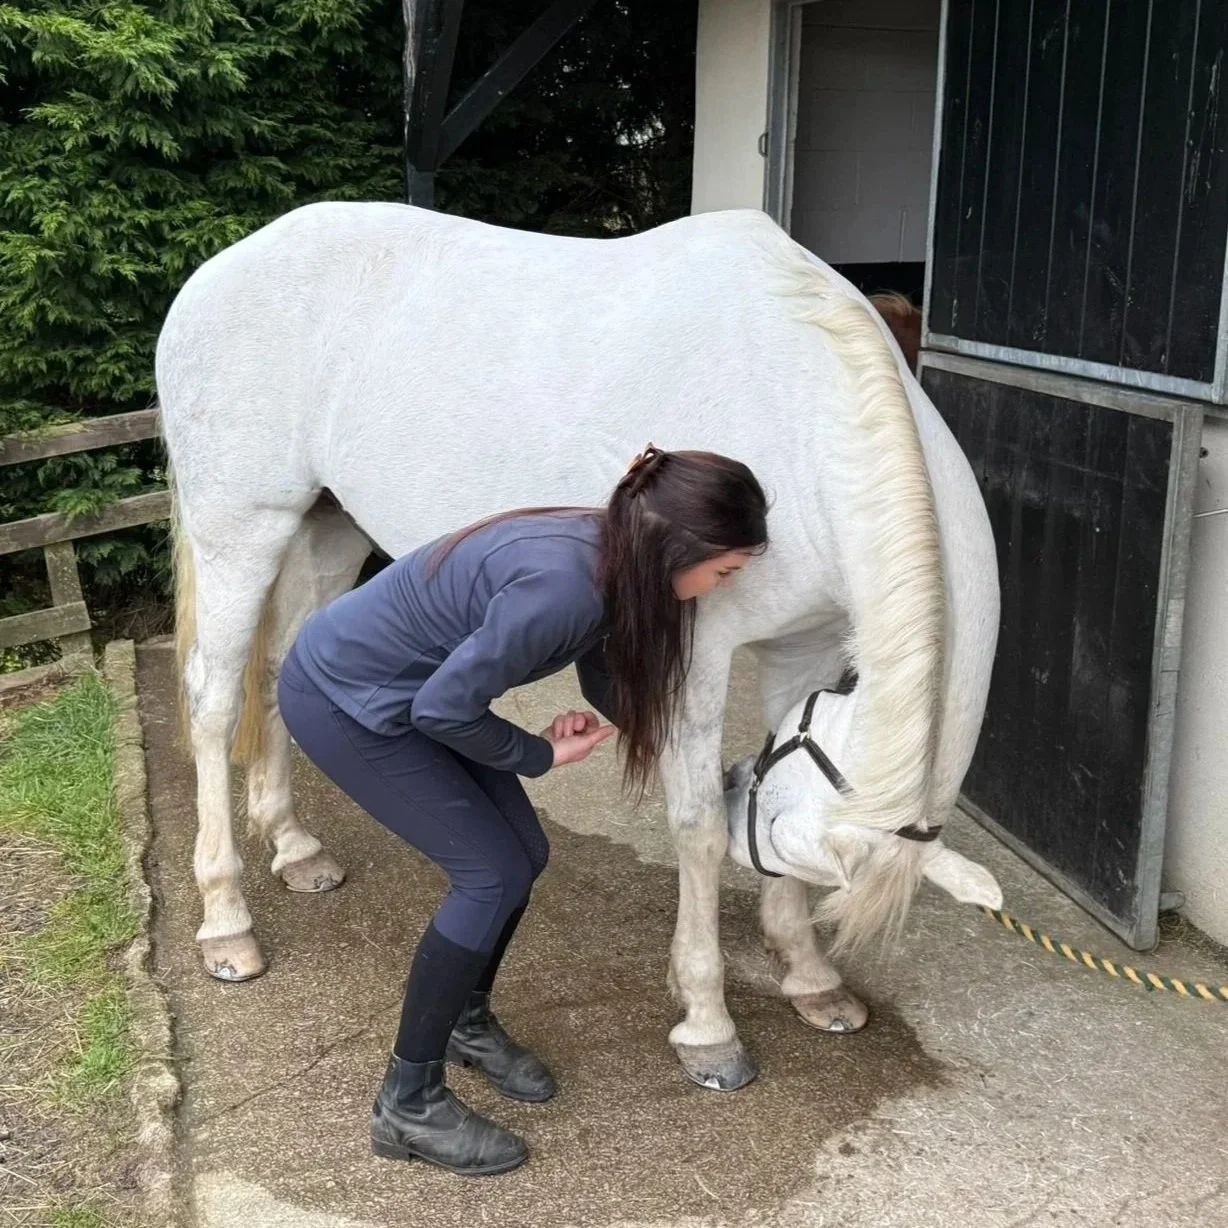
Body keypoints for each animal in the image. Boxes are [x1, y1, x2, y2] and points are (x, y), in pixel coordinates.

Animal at [156, 203, 1001, 1091]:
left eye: (772, 825)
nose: (738, 786)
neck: (802, 413)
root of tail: (216, 274)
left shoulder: (803, 651)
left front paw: (810, 977)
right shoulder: (694, 654)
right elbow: (696, 829)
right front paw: (708, 1024)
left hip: (327, 529)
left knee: (279, 670)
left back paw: (294, 848)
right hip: (242, 532)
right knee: (213, 702)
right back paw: (227, 922)